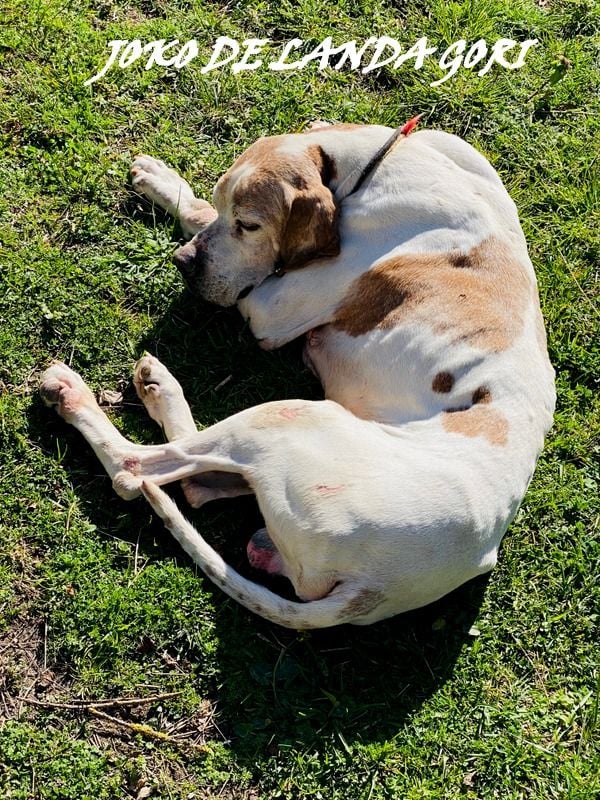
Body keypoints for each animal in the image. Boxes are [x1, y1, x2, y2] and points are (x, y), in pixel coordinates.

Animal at [39, 122, 556, 628]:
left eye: (250, 225)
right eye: (228, 206)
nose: (184, 264)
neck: (371, 167)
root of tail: (374, 588)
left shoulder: (271, 308)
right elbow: (202, 213)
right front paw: (162, 180)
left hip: (287, 418)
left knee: (136, 469)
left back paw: (83, 395)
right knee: (196, 482)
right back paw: (159, 390)